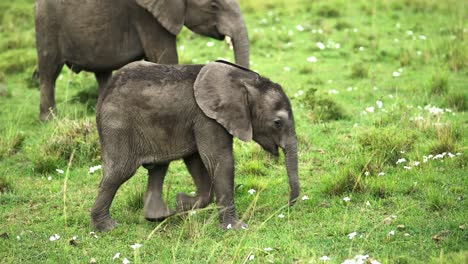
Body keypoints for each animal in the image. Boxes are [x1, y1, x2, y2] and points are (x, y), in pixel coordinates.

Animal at [35, 0, 250, 120]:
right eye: (213, 6)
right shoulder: (145, 16)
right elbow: (164, 55)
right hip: (47, 23)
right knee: (49, 71)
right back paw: (50, 120)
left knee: (102, 72)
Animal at [91, 59, 300, 231]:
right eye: (277, 123)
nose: (288, 205)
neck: (243, 80)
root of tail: (105, 94)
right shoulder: (206, 118)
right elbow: (219, 161)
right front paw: (236, 228)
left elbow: (197, 161)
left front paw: (182, 203)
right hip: (119, 126)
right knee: (120, 172)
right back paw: (107, 227)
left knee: (158, 167)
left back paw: (158, 216)